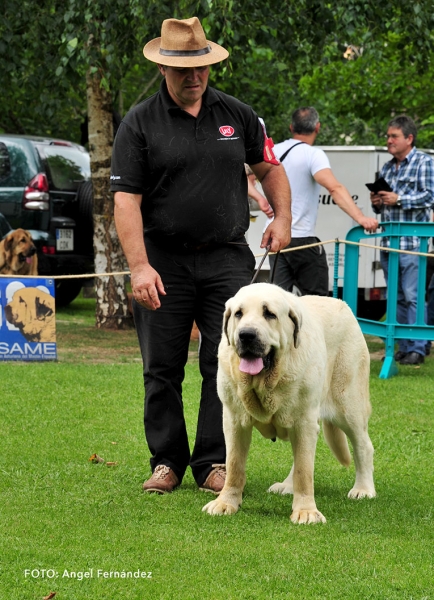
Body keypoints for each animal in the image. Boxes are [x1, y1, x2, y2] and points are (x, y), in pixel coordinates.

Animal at [202, 284, 374, 524]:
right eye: (238, 314)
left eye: (269, 314)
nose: (246, 335)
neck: (268, 381)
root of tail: (341, 303)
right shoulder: (234, 420)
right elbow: (234, 465)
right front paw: (226, 503)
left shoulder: (304, 421)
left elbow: (305, 471)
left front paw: (306, 511)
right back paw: (287, 485)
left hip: (348, 406)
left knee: (363, 445)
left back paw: (364, 489)